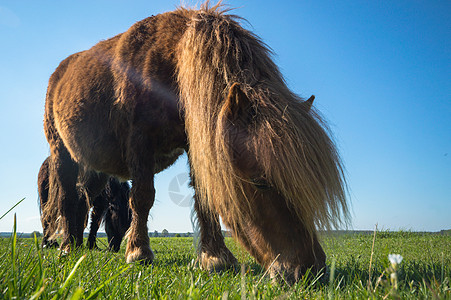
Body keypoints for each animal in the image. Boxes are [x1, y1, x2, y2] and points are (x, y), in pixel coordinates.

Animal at [41, 2, 350, 284]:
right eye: (260, 182)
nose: (311, 270)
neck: (169, 62)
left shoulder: (197, 142)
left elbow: (204, 197)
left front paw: (215, 258)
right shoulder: (140, 143)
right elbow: (142, 196)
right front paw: (139, 253)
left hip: (95, 168)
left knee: (85, 201)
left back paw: (78, 243)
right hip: (61, 154)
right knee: (67, 198)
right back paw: (67, 247)